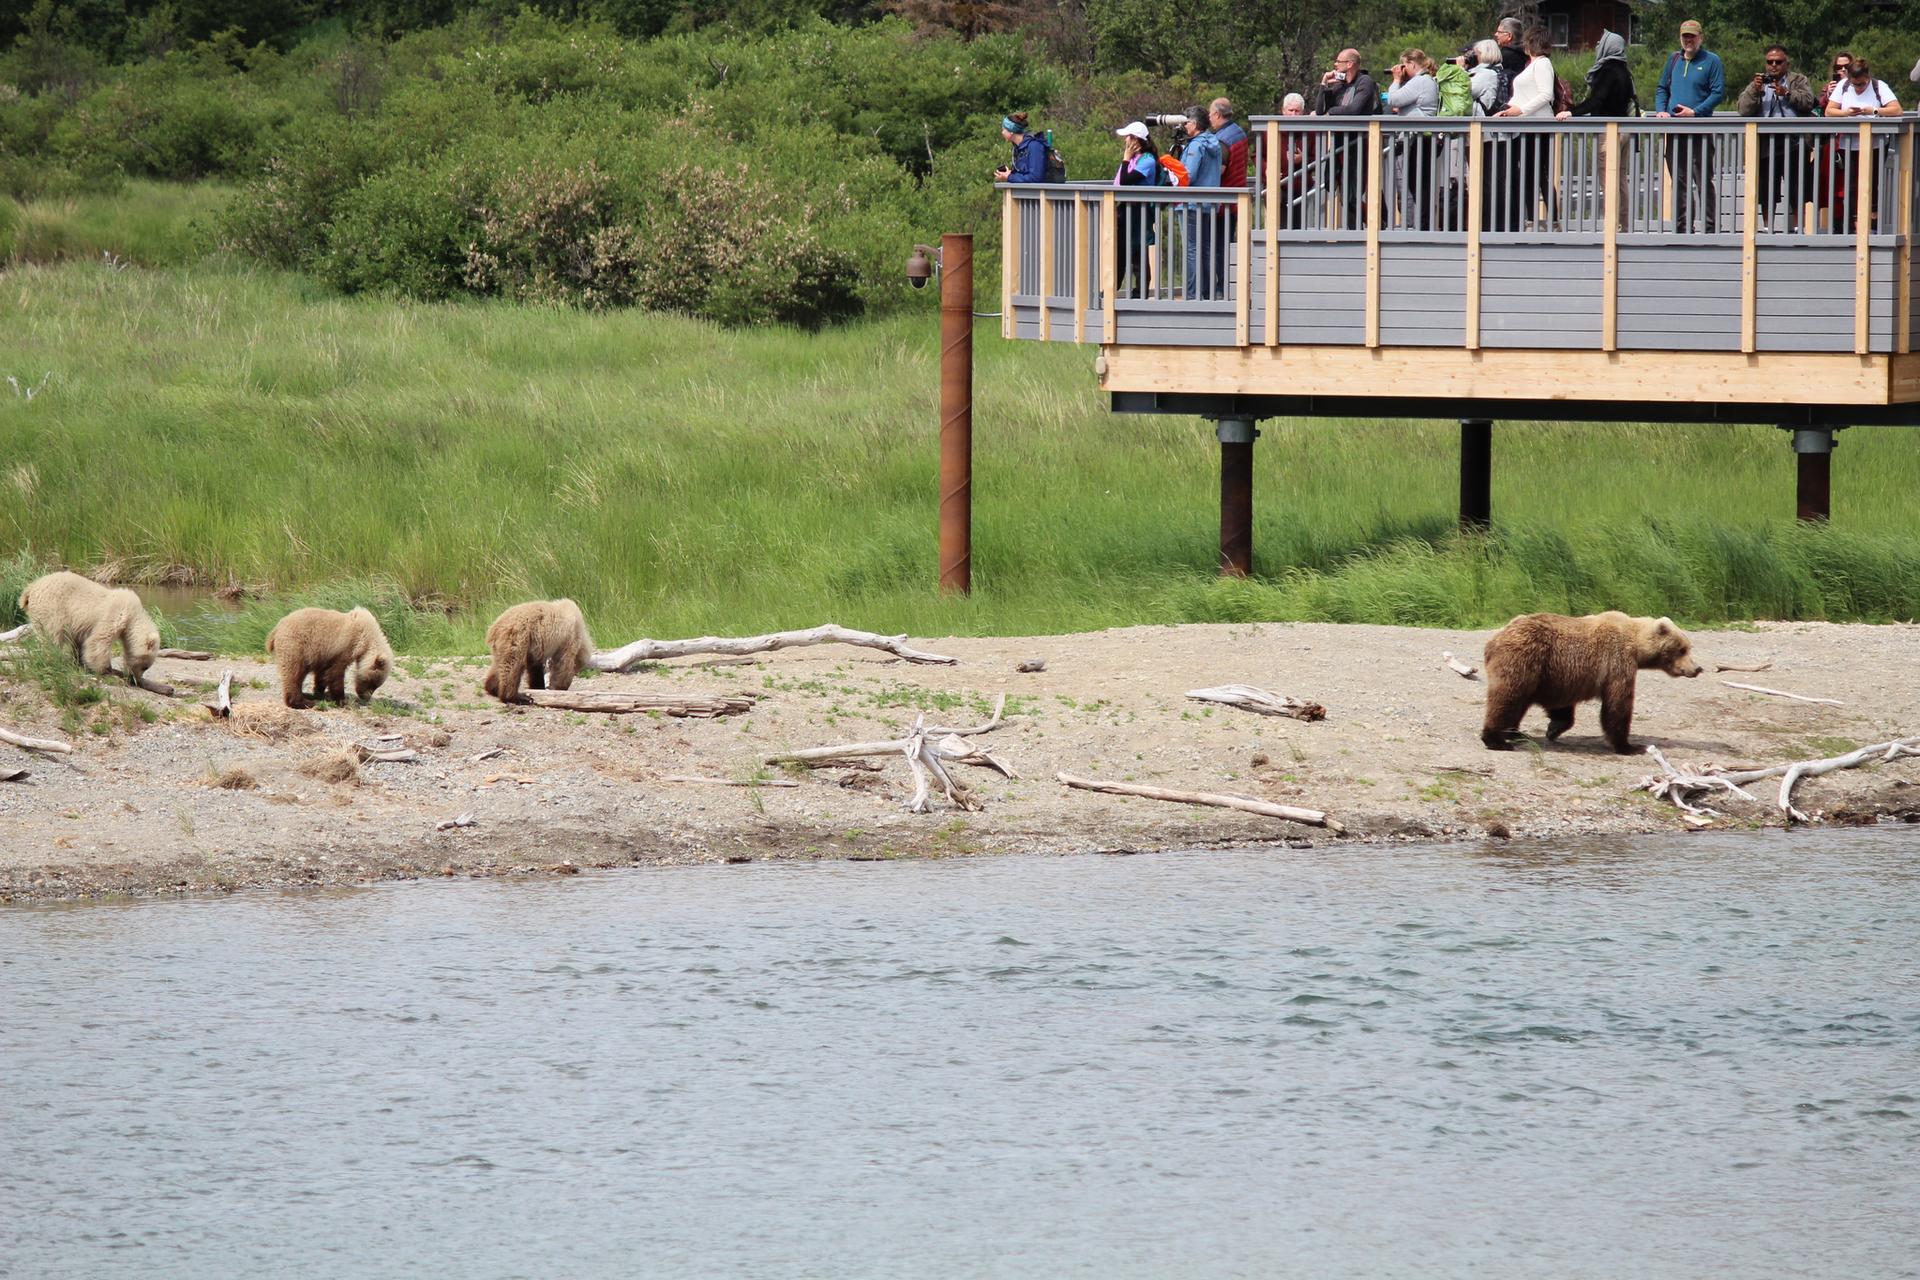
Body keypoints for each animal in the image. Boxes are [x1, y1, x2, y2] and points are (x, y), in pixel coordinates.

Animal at [18, 570, 161, 686]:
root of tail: (31, 588)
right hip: (52, 609)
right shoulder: (115, 614)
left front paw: (79, 662)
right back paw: (51, 658)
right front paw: (107, 671)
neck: (133, 615)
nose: (136, 679)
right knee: (51, 636)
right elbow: (98, 642)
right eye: (145, 666)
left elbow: (79, 642)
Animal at [264, 606, 394, 709]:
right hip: (295, 646)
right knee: (293, 674)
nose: (366, 697)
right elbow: (335, 673)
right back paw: (304, 702)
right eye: (373, 682)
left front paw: (319, 691)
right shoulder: (344, 647)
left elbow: (322, 673)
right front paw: (341, 700)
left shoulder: (324, 654)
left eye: (377, 685)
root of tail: (276, 629)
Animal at [1480, 611, 1703, 754]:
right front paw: (1629, 746)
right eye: (1682, 649)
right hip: (1523, 659)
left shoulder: (1560, 675)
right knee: (1507, 698)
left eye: (1688, 647)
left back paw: (1516, 734)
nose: (1697, 668)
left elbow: (1561, 704)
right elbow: (1617, 704)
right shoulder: (1617, 661)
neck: (1636, 645)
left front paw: (1553, 728)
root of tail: (1494, 639)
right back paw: (1497, 740)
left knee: (1519, 701)